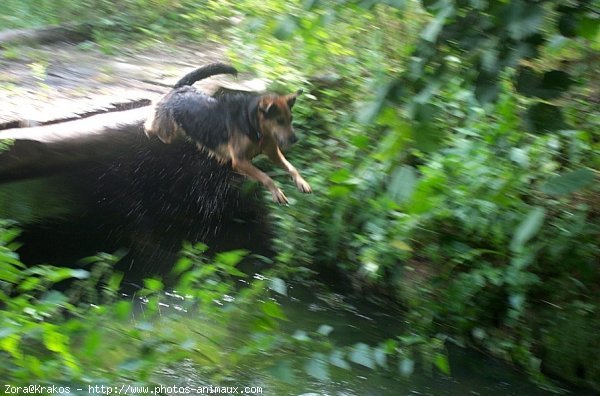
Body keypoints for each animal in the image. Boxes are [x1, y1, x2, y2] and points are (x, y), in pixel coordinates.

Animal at [145, 62, 312, 204]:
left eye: (291, 119)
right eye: (279, 121)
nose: (295, 139)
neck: (253, 125)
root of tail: (182, 87)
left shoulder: (272, 153)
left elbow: (291, 167)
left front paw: (302, 182)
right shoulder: (239, 160)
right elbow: (265, 177)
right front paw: (277, 192)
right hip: (166, 131)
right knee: (153, 122)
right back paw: (147, 125)